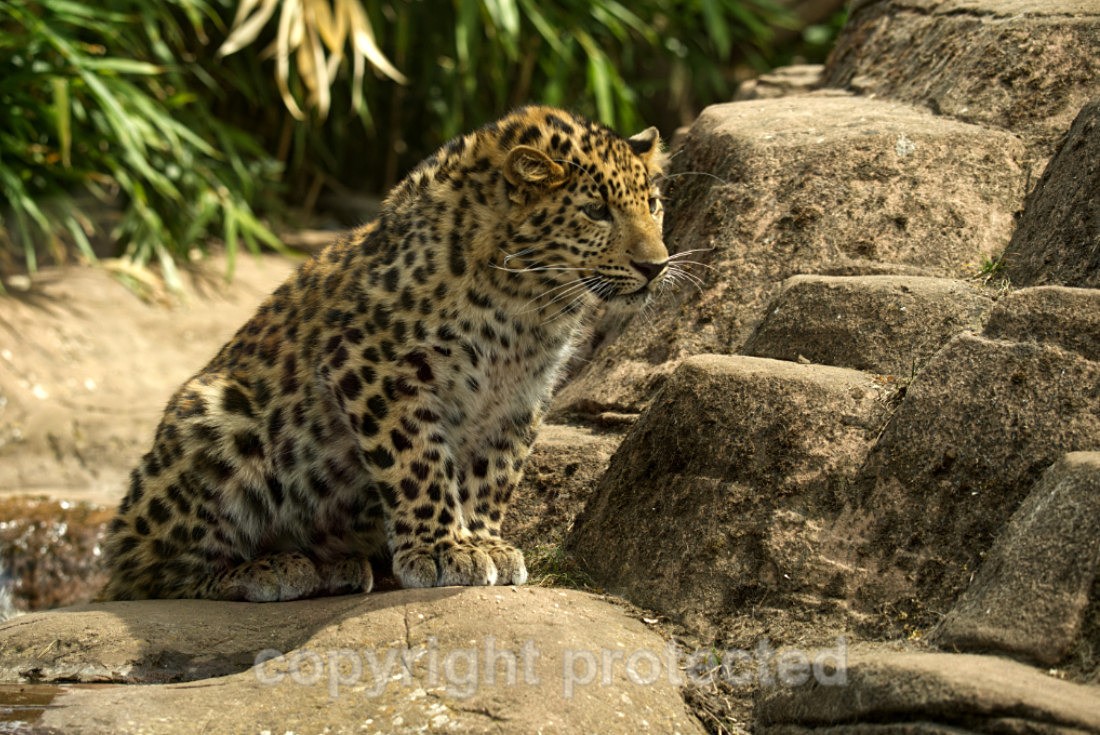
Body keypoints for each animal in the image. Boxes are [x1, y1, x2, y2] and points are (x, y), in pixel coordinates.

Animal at [98, 105, 669, 602]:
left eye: (654, 206)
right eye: (596, 211)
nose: (656, 266)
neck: (529, 305)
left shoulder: (520, 395)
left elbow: (495, 472)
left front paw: (482, 540)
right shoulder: (376, 366)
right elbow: (419, 460)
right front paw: (443, 550)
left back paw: (332, 566)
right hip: (216, 416)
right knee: (151, 576)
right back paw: (271, 569)